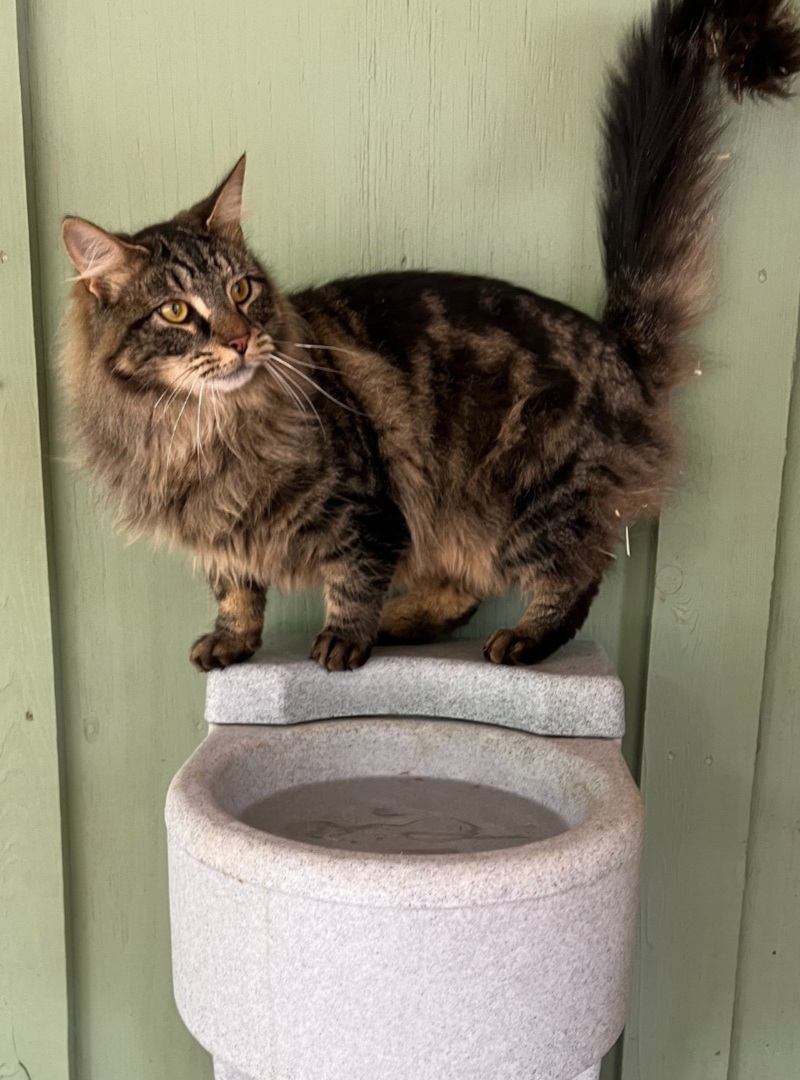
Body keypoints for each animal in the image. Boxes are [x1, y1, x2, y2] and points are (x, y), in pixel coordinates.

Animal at [60, 0, 798, 669]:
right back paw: (402, 622)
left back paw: (518, 640)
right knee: (464, 590)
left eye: (241, 292)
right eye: (177, 312)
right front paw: (234, 642)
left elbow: (353, 579)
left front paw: (342, 641)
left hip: (533, 497)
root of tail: (616, 342)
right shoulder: (221, 540)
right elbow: (238, 591)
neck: (201, 435)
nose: (241, 340)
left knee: (570, 577)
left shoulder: (366, 510)